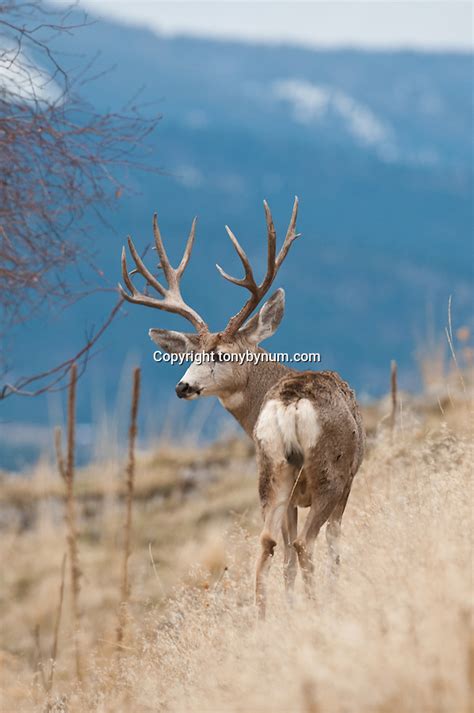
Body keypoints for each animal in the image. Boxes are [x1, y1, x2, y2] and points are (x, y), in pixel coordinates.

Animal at [118, 197, 362, 620]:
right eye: (193, 354)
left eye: (221, 354)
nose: (182, 386)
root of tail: (290, 401)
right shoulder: (348, 482)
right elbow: (333, 545)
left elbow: (284, 559)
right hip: (327, 472)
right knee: (306, 544)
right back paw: (317, 607)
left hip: (272, 469)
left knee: (267, 544)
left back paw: (263, 618)